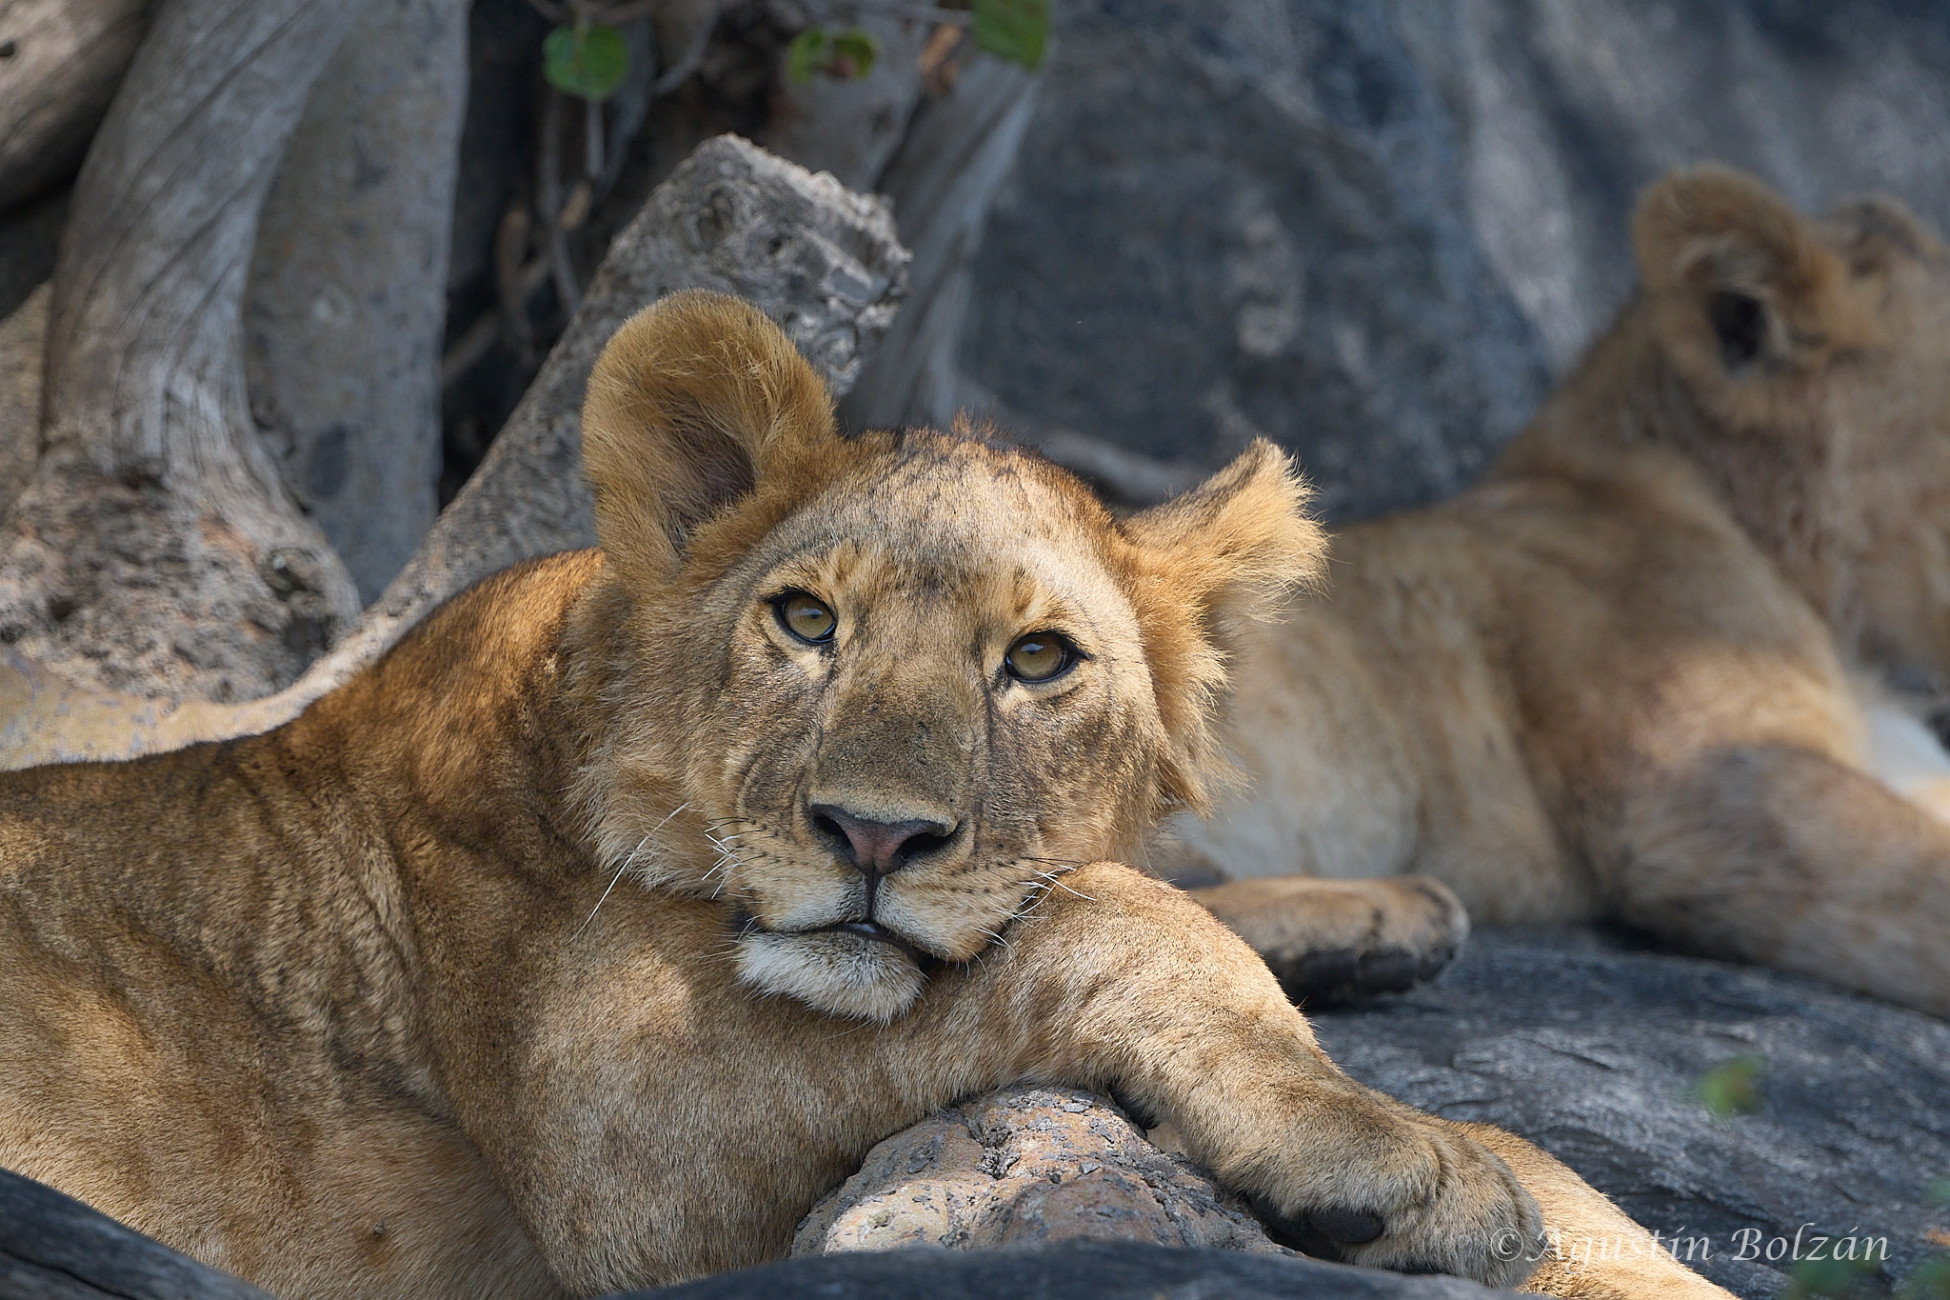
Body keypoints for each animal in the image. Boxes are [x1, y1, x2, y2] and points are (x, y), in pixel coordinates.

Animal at [0, 292, 1727, 1299]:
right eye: (804, 621)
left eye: (1036, 661)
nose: (873, 836)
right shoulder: (623, 1141)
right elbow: (1104, 919)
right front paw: (1383, 1150)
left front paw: (1380, 930)